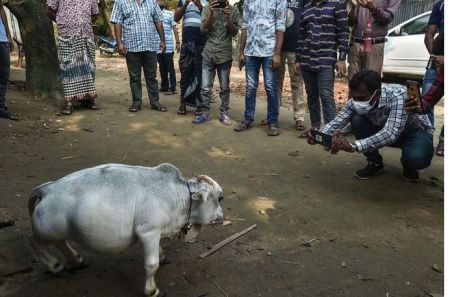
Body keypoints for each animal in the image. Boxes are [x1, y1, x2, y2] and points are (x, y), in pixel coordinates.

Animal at [28, 163, 225, 294]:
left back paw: (76, 260)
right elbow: (151, 265)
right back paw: (54, 265)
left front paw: (162, 255)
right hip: (45, 232)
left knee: (61, 243)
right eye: (220, 198)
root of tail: (46, 189)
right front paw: (152, 290)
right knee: (36, 244)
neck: (178, 195)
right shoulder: (148, 231)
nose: (222, 216)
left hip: (59, 231)